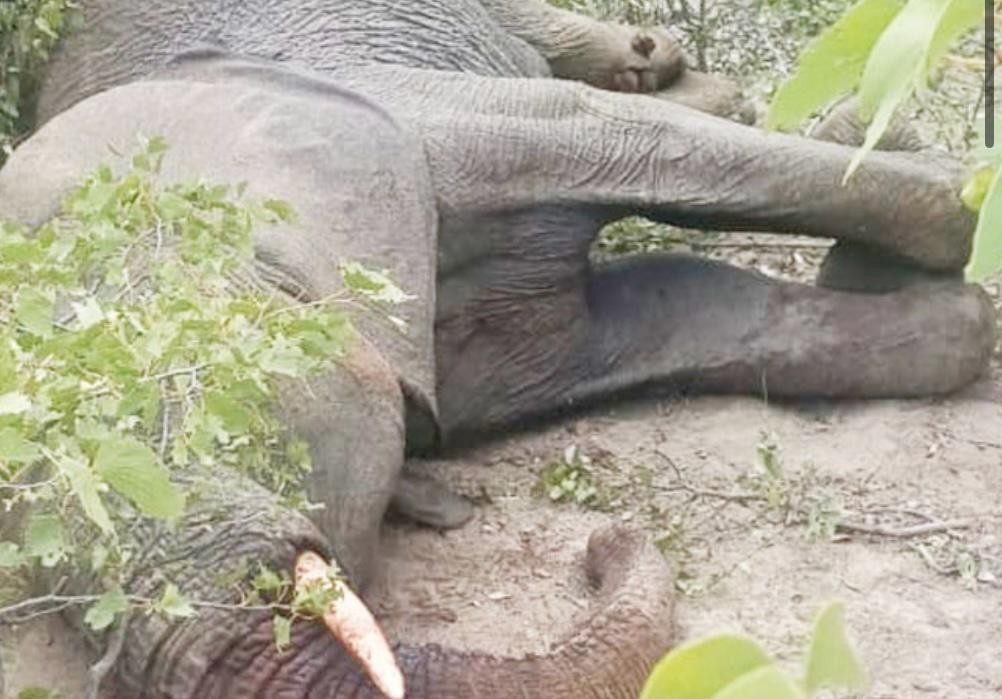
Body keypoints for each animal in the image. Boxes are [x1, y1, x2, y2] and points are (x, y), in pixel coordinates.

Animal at [0, 0, 996, 697]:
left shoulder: (408, 122)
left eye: (208, 403)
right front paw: (935, 306)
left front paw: (938, 190)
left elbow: (625, 140)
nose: (600, 545)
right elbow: (673, 309)